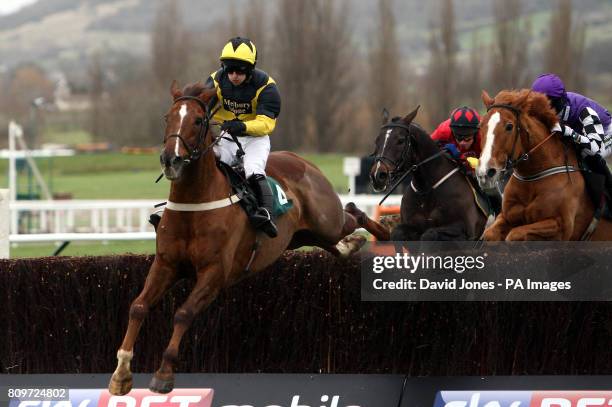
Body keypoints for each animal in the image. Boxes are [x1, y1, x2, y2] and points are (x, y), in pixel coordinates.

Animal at [107, 82, 390, 396]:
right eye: (167, 117)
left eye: (198, 120)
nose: (171, 159)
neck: (196, 203)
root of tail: (304, 162)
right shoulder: (166, 264)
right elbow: (138, 307)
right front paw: (121, 373)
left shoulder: (214, 274)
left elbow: (183, 313)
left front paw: (164, 373)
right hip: (300, 235)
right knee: (336, 241)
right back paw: (351, 244)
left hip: (327, 221)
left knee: (352, 214)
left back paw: (384, 229)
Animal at [366, 106, 490, 242]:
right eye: (377, 141)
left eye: (400, 140)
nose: (378, 175)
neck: (426, 189)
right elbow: (397, 233)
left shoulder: (464, 233)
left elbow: (429, 234)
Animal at [478, 89, 612, 241]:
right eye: (481, 125)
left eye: (509, 126)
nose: (485, 172)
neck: (534, 175)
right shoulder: (507, 216)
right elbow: (490, 234)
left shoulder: (559, 227)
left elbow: (514, 235)